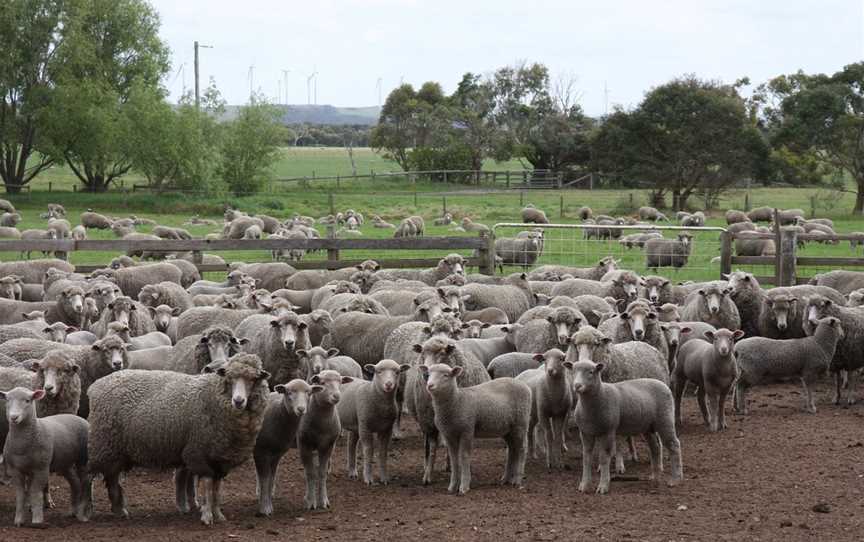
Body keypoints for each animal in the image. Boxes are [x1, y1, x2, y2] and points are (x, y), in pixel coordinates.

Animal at [0, 388, 90, 528]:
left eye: (27, 400)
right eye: (7, 400)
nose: (13, 417)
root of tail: (78, 417)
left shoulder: (41, 468)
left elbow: (36, 493)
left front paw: (37, 520)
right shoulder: (16, 470)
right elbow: (20, 495)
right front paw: (19, 520)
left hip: (83, 459)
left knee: (86, 482)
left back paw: (83, 514)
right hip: (65, 463)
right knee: (75, 483)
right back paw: (72, 512)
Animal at [253, 380, 318, 516]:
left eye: (309, 393)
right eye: (289, 392)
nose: (301, 409)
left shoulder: (276, 454)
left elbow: (271, 478)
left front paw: (268, 503)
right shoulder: (261, 451)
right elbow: (265, 479)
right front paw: (265, 508)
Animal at [296, 370, 352, 510]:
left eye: (340, 382)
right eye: (322, 382)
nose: (336, 396)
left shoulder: (327, 446)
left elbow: (321, 473)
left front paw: (323, 500)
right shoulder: (304, 444)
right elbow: (310, 473)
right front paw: (311, 502)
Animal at [416, 366, 528, 498]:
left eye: (445, 375)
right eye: (428, 374)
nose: (430, 385)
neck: (457, 401)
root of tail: (524, 385)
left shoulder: (467, 429)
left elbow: (464, 456)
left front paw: (464, 487)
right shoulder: (448, 434)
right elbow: (454, 459)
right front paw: (452, 486)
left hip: (521, 423)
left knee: (521, 449)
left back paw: (517, 480)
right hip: (507, 429)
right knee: (512, 449)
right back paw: (506, 479)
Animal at [572, 364, 684, 496]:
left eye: (591, 372)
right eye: (572, 371)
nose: (577, 386)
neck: (601, 394)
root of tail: (663, 384)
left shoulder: (608, 431)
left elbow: (604, 458)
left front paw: (603, 486)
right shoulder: (585, 432)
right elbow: (586, 458)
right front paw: (584, 485)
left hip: (665, 419)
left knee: (674, 445)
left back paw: (676, 479)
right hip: (648, 427)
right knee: (655, 447)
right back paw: (654, 476)